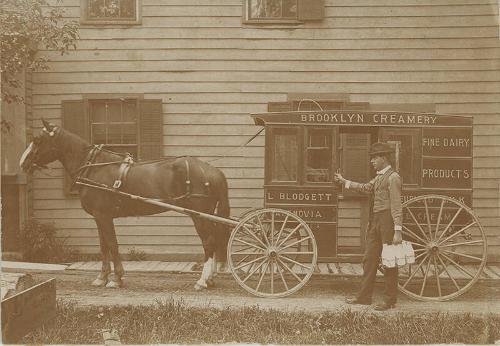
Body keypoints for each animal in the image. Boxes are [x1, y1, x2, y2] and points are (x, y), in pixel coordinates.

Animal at [19, 119, 230, 290]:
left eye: (38, 139)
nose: (23, 163)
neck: (93, 168)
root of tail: (213, 170)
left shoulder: (103, 216)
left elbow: (112, 244)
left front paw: (116, 279)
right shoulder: (99, 217)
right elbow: (104, 246)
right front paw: (101, 278)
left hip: (198, 215)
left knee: (208, 242)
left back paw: (202, 281)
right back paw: (210, 279)